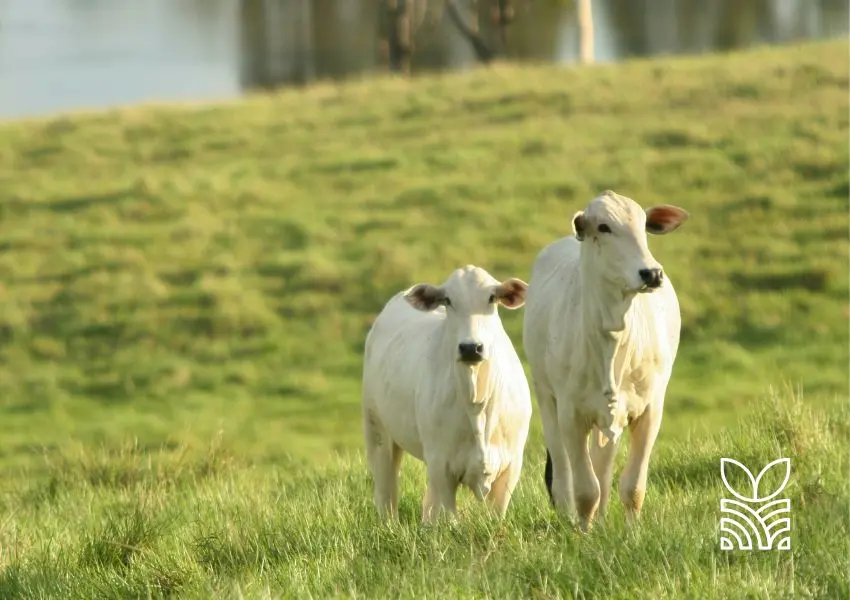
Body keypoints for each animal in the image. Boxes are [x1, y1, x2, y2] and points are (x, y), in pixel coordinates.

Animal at [362, 264, 532, 524]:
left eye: (491, 297)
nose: (471, 347)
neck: (477, 403)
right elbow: (450, 517)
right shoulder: (441, 465)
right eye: (448, 300)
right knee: (386, 495)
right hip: (378, 432)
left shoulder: (512, 465)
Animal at [524, 190, 688, 532]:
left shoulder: (649, 410)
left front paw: (632, 532)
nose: (651, 273)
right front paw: (583, 534)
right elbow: (585, 490)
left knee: (603, 466)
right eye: (603, 227)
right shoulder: (571, 415)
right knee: (564, 476)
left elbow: (632, 485)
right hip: (546, 398)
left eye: (643, 225)